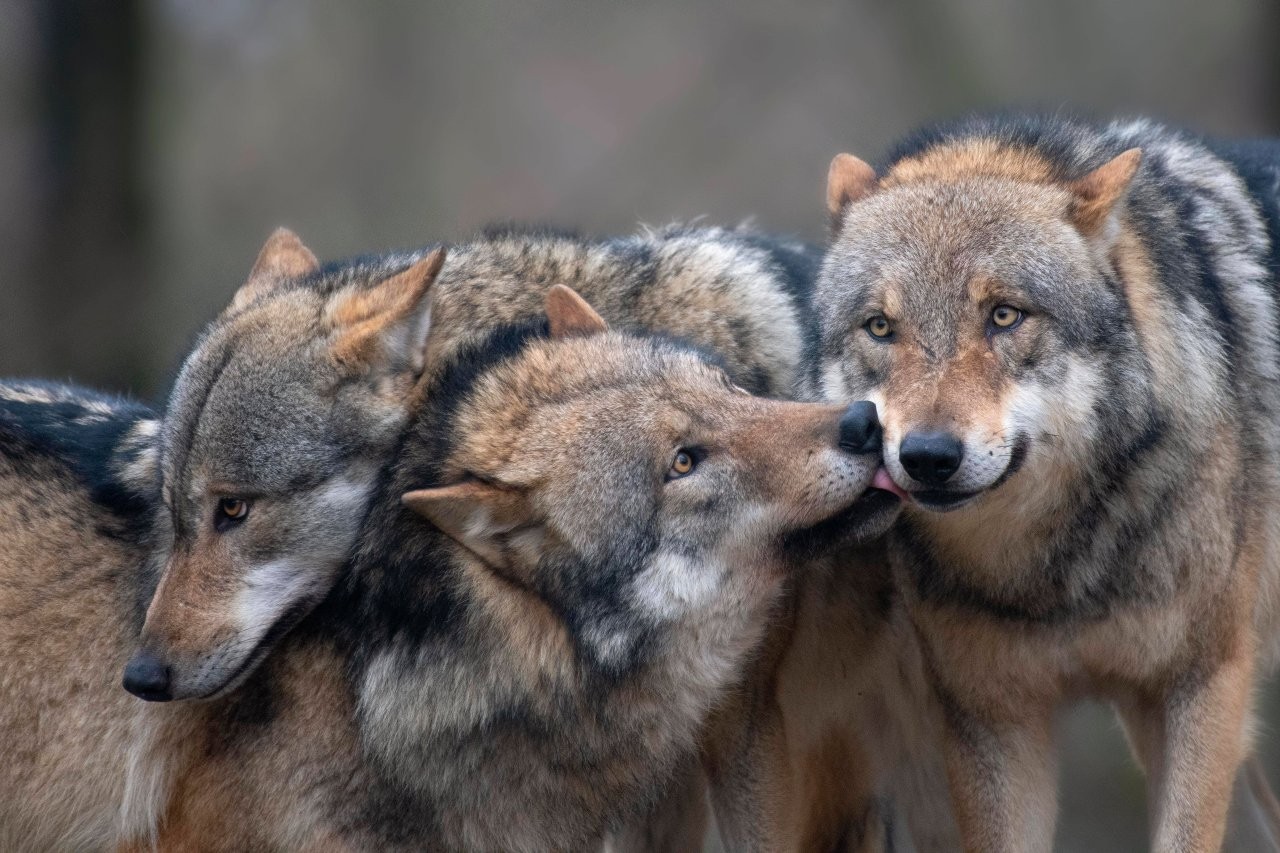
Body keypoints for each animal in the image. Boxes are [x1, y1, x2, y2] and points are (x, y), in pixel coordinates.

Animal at [814, 112, 1280, 850]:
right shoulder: (991, 719)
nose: (927, 455)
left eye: (1005, 315)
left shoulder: (1202, 686)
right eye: (880, 327)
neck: (1054, 573)